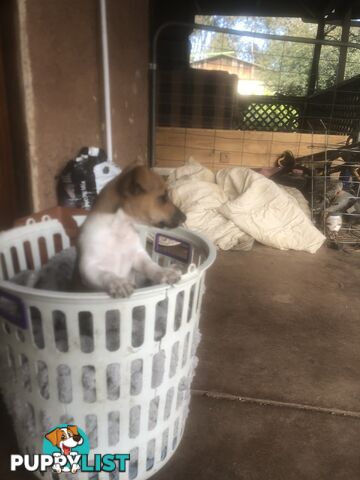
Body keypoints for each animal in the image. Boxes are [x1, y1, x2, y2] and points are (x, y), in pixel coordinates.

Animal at [77, 167, 187, 298]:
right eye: (163, 197)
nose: (185, 218)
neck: (120, 229)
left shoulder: (138, 256)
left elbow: (151, 266)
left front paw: (164, 272)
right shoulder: (88, 267)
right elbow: (106, 274)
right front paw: (119, 282)